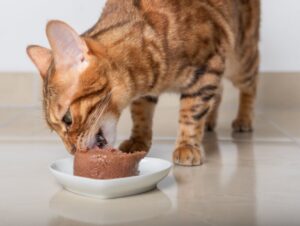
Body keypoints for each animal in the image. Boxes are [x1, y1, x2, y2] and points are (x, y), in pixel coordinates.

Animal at [26, 0, 260, 166]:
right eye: (54, 130)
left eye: (67, 119)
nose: (72, 151)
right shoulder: (146, 92)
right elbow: (140, 113)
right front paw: (139, 139)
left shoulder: (207, 68)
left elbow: (191, 112)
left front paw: (187, 145)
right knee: (219, 90)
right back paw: (211, 120)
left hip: (240, 59)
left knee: (250, 84)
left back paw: (244, 119)